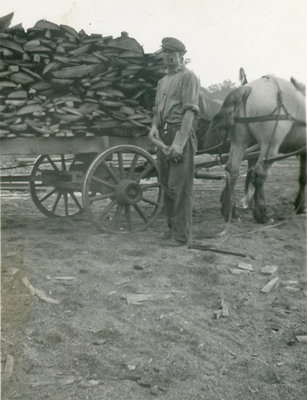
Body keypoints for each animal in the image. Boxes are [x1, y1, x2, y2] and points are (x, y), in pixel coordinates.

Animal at [203, 75, 306, 223]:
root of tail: (248, 88)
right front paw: (300, 205)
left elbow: (302, 177)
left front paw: (300, 205)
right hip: (270, 145)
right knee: (259, 173)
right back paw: (262, 213)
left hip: (239, 141)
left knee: (232, 170)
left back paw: (230, 212)